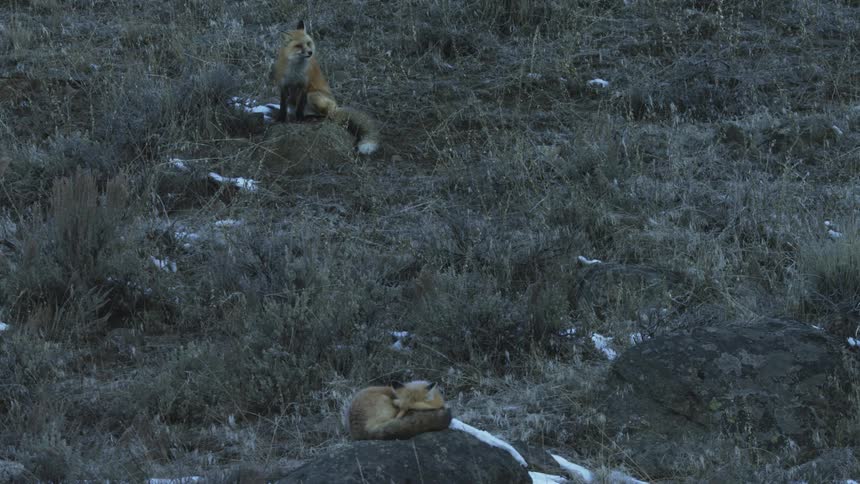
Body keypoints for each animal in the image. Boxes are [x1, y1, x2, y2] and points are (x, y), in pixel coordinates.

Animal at [272, 20, 380, 155]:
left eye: (308, 43)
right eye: (299, 46)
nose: (310, 52)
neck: (295, 71)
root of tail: (336, 107)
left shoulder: (305, 86)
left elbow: (300, 107)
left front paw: (299, 119)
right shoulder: (283, 86)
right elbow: (282, 106)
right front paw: (280, 119)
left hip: (313, 96)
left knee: (329, 116)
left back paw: (312, 118)